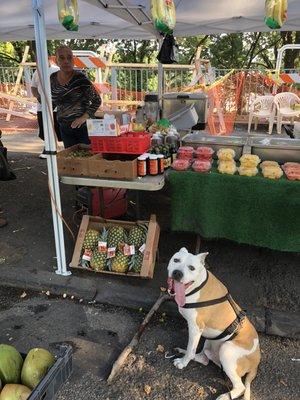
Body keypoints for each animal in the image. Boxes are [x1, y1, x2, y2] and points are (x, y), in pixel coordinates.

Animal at [166, 248, 260, 398]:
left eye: (191, 268)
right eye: (176, 260)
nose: (177, 273)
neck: (197, 285)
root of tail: (257, 361)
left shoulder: (195, 328)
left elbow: (191, 349)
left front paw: (183, 363)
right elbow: (192, 349)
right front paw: (185, 354)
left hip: (226, 350)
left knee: (241, 387)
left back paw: (224, 396)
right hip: (210, 340)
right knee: (204, 358)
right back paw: (183, 351)